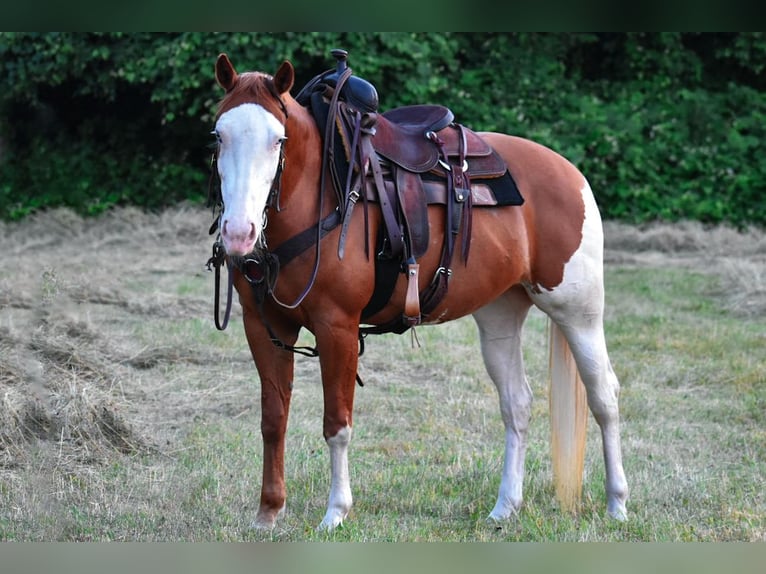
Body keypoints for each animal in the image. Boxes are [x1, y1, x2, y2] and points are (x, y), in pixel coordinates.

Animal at [208, 50, 632, 532]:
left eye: (278, 140)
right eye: (218, 136)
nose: (239, 233)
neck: (318, 196)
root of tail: (570, 172)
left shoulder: (337, 328)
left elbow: (337, 424)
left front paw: (335, 513)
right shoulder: (265, 328)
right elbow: (273, 420)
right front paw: (268, 512)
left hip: (578, 311)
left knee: (604, 397)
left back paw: (617, 504)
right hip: (501, 314)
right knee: (517, 404)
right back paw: (505, 507)